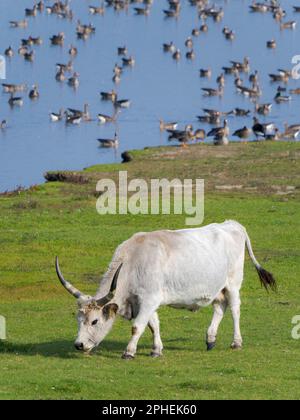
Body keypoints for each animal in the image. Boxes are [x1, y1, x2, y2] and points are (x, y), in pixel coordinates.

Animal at [55, 220, 276, 358]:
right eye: (78, 319)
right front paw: (156, 350)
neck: (134, 260)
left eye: (94, 321)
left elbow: (137, 326)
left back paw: (236, 342)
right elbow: (153, 325)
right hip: (217, 287)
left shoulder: (149, 299)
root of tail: (231, 224)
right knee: (220, 308)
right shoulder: (146, 300)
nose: (79, 345)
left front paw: (129, 352)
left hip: (233, 283)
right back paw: (210, 339)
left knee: (235, 309)